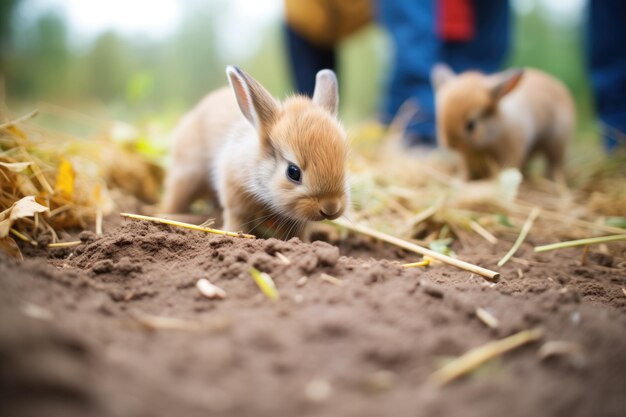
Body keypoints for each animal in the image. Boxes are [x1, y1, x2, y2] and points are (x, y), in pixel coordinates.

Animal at [432, 64, 572, 181]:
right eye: (440, 119)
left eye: (471, 125)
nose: (450, 144)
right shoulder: (466, 158)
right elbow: (465, 170)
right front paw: (461, 179)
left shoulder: (510, 154)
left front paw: (493, 182)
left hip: (556, 143)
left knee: (556, 163)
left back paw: (554, 180)